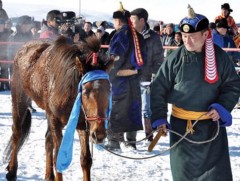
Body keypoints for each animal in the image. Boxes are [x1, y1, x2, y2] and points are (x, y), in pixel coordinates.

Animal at [2, 36, 113, 180]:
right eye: (86, 90)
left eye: (109, 90)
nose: (99, 134)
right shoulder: (56, 120)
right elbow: (57, 159)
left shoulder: (83, 124)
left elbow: (86, 159)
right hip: (19, 98)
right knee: (17, 132)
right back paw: (12, 170)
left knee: (48, 139)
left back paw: (49, 175)